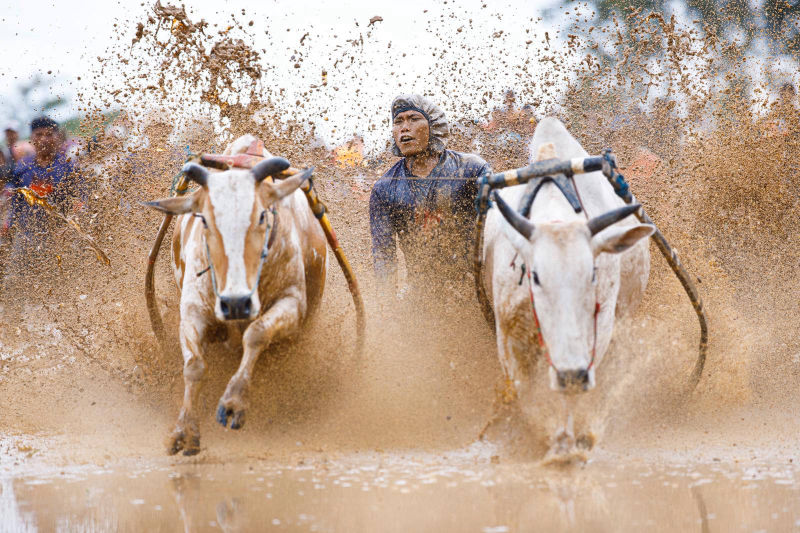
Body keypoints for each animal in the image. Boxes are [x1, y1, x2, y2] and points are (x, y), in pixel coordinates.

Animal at [145, 136, 326, 454]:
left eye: (262, 215)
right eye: (204, 220)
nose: (236, 303)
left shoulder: (293, 304)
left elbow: (256, 334)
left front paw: (233, 403)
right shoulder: (192, 311)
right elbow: (194, 366)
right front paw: (184, 430)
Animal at [482, 118, 656, 446]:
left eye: (592, 273)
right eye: (535, 276)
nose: (570, 373)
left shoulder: (599, 333)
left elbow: (572, 393)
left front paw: (568, 443)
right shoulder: (507, 334)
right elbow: (525, 391)